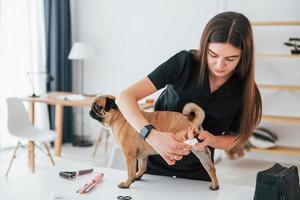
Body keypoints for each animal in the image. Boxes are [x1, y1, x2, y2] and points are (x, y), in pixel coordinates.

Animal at [88, 95, 218, 191]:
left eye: (97, 106)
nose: (90, 110)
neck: (120, 117)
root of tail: (190, 120)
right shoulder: (142, 156)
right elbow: (142, 168)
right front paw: (137, 177)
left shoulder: (129, 155)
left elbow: (130, 171)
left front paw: (127, 183)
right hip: (202, 152)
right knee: (211, 168)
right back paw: (215, 185)